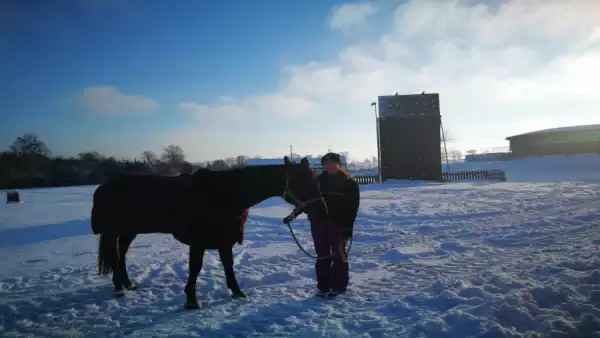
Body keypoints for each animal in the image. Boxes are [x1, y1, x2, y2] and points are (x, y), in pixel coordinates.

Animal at [91, 156, 326, 308]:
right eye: (302, 181)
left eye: (316, 180)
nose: (323, 210)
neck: (224, 194)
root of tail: (104, 186)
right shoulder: (199, 241)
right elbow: (195, 267)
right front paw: (191, 299)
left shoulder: (224, 238)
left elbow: (228, 265)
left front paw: (237, 292)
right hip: (114, 231)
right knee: (115, 256)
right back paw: (119, 288)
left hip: (129, 231)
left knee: (121, 255)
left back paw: (127, 284)